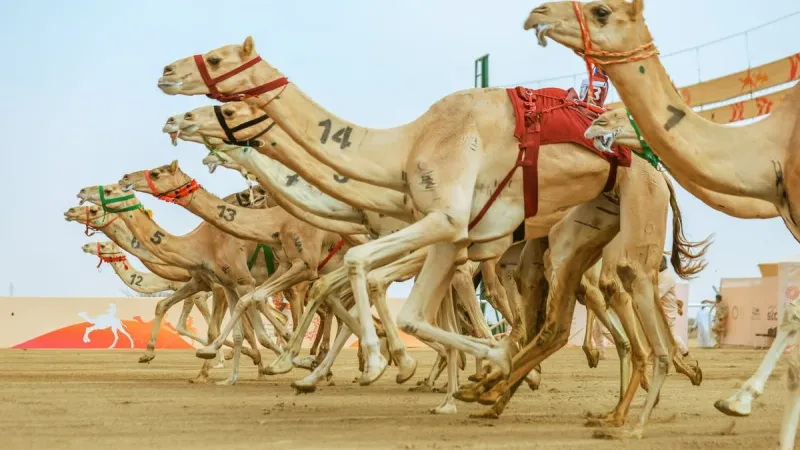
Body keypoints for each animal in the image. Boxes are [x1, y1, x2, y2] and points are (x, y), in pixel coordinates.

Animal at [76, 183, 290, 384]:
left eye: (94, 210)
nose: (72, 210)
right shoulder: (198, 284)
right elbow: (167, 310)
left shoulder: (215, 287)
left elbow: (217, 328)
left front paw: (211, 368)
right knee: (275, 312)